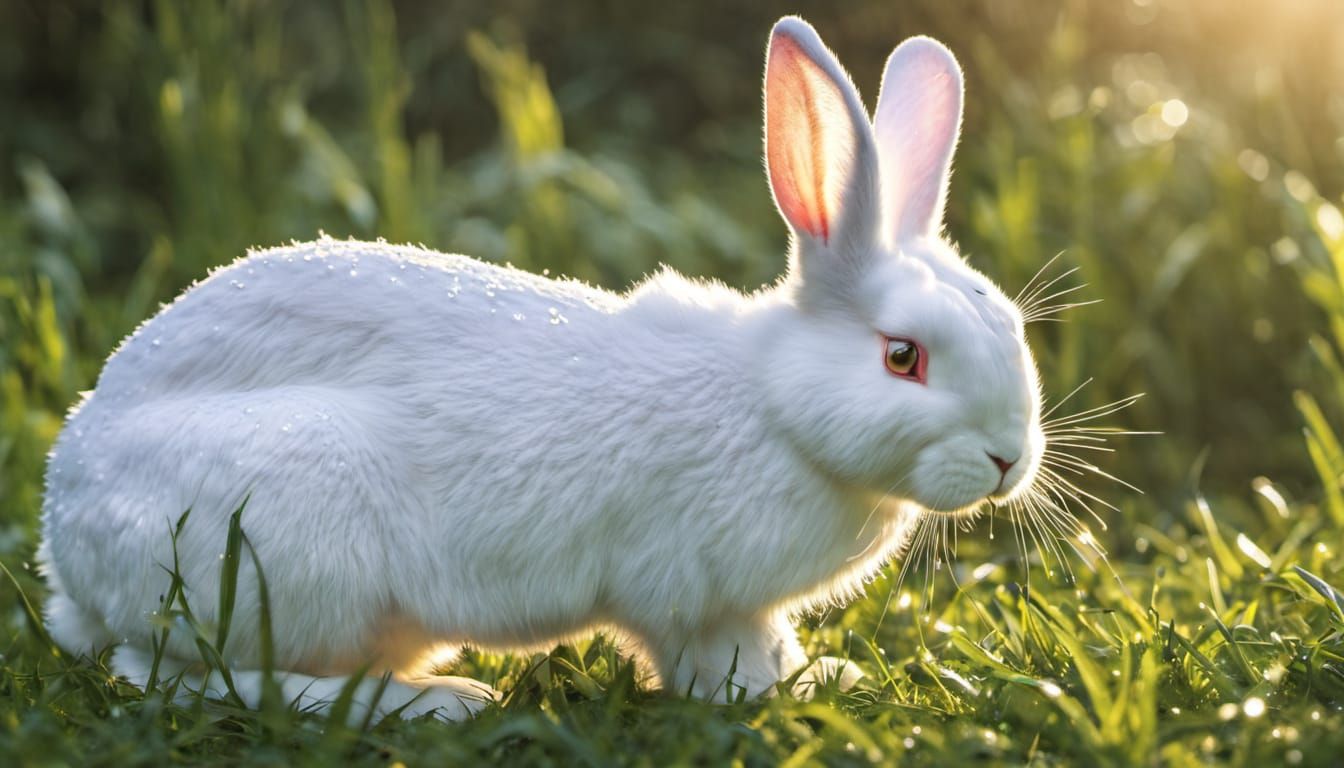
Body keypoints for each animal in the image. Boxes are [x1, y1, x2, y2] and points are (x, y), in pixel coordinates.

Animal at [38, 16, 1043, 721]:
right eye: (903, 357)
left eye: (1012, 322)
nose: (1008, 460)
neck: (773, 406)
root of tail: (64, 540)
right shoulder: (689, 596)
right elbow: (715, 661)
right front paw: (769, 696)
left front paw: (820, 674)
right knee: (175, 673)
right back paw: (434, 704)